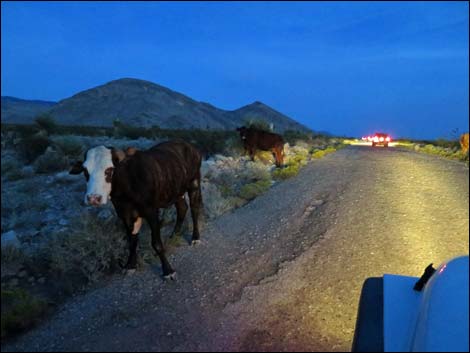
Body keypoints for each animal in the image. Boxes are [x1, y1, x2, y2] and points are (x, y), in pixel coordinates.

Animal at [70, 140, 202, 278]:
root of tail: (190, 147)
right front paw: (130, 265)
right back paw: (173, 236)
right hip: (176, 192)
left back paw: (195, 237)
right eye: (85, 171)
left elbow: (156, 243)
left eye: (109, 170)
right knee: (182, 208)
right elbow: (132, 241)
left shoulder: (151, 212)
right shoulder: (125, 215)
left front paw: (168, 270)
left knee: (194, 209)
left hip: (194, 184)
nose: (93, 198)